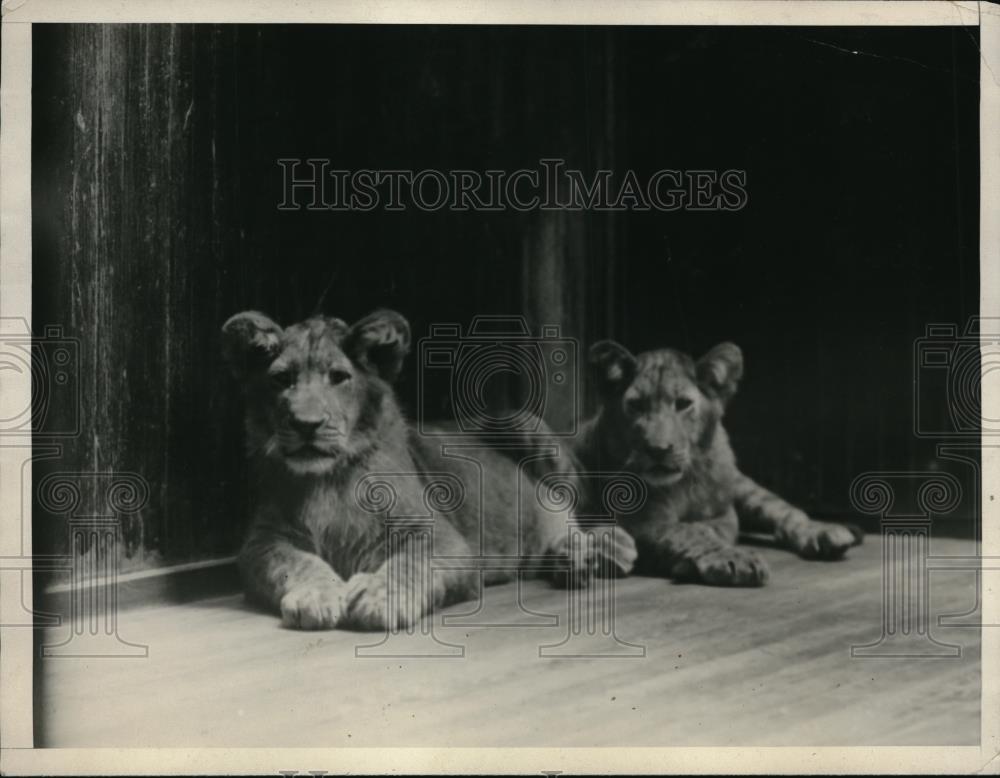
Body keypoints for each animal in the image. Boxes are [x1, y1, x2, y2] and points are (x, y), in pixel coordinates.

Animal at [221, 309, 636, 630]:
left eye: (338, 377)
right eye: (281, 379)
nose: (306, 424)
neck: (329, 478)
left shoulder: (442, 537)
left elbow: (410, 563)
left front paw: (379, 598)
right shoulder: (262, 540)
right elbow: (293, 563)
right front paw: (318, 594)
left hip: (522, 424)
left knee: (579, 516)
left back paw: (603, 552)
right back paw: (575, 560)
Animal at [570, 339, 863, 586]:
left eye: (683, 404)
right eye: (636, 405)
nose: (658, 449)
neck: (683, 484)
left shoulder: (723, 513)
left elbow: (713, 527)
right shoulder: (641, 519)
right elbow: (686, 532)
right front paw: (732, 558)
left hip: (742, 485)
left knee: (785, 511)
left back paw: (824, 533)